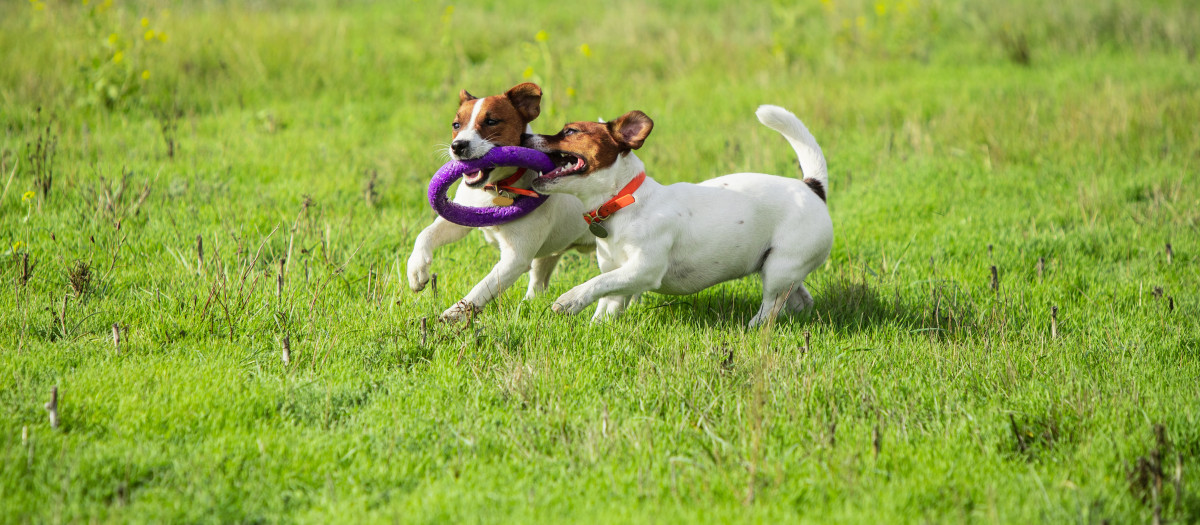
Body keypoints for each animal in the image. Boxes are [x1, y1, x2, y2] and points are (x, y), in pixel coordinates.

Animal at [408, 83, 595, 318]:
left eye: (491, 121)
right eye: (456, 125)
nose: (457, 145)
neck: (495, 189)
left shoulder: (515, 259)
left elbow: (482, 288)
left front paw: (455, 313)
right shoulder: (460, 219)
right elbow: (426, 234)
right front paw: (416, 270)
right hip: (547, 257)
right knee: (539, 283)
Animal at [525, 104, 835, 326]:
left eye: (570, 131)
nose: (526, 135)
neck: (623, 201)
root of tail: (812, 187)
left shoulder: (644, 269)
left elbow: (596, 283)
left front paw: (570, 300)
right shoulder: (618, 273)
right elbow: (606, 295)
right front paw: (595, 327)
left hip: (780, 268)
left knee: (771, 308)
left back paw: (752, 327)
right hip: (780, 268)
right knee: (798, 298)